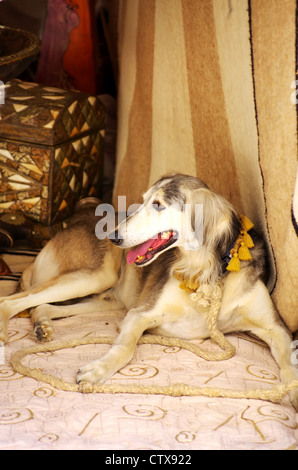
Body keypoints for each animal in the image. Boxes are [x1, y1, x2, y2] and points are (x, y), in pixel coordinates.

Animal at [0, 174, 298, 410]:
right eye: (142, 200)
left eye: (158, 205)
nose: (113, 236)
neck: (207, 274)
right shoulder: (139, 314)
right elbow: (124, 348)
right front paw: (98, 370)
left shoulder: (276, 328)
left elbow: (290, 364)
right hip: (94, 277)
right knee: (11, 301)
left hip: (108, 300)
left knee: (40, 306)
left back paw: (42, 326)